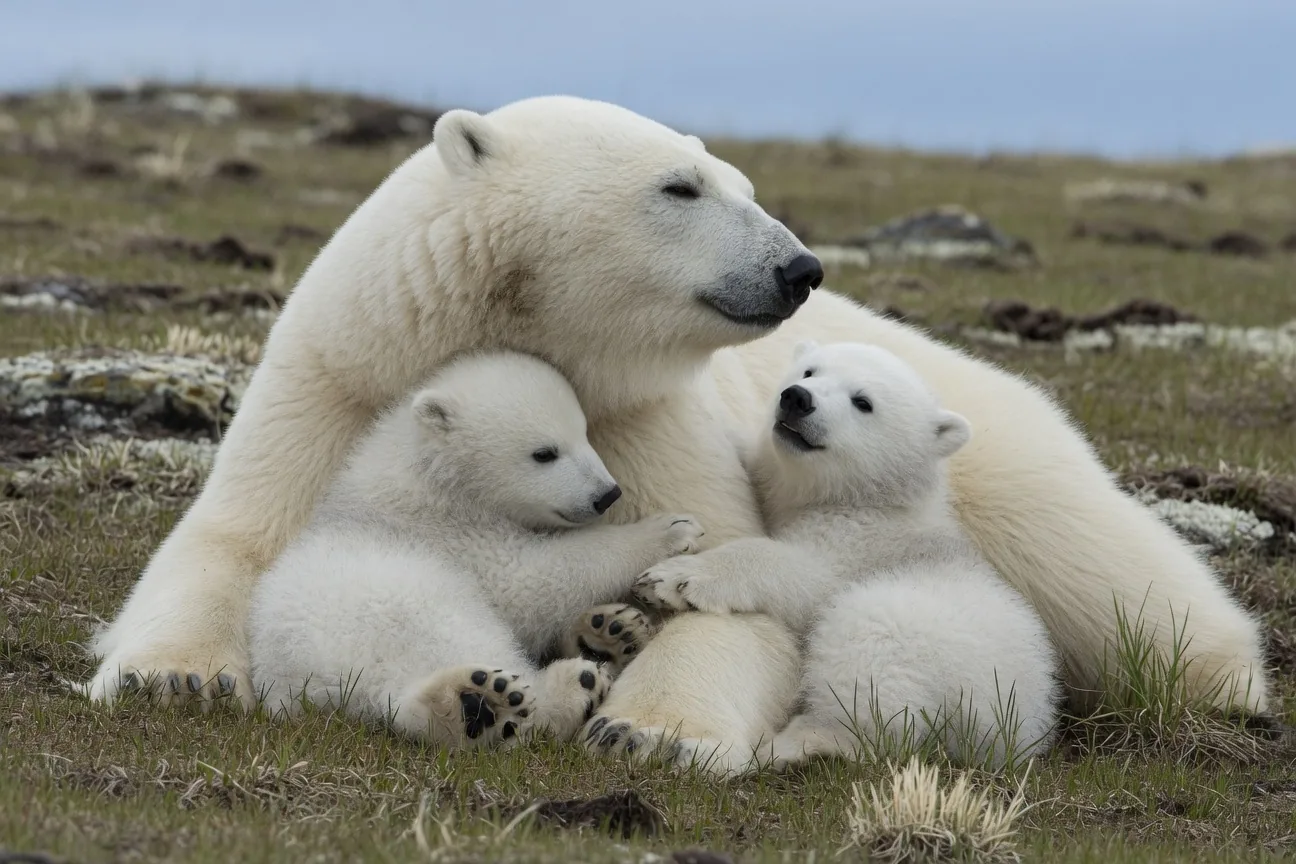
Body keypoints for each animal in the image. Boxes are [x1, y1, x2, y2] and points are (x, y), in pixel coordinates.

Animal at [246, 350, 704, 748]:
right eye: (544, 453)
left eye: (584, 434)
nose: (607, 494)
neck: (428, 471)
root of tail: (299, 689)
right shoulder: (450, 531)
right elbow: (532, 580)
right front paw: (673, 529)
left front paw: (615, 624)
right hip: (378, 609)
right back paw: (491, 702)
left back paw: (608, 633)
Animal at [620, 341, 1060, 772]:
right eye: (810, 371)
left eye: (862, 402)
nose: (797, 398)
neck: (869, 499)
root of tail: (1019, 729)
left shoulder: (859, 540)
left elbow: (800, 571)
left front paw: (671, 579)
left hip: (929, 644)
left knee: (870, 663)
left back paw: (793, 745)